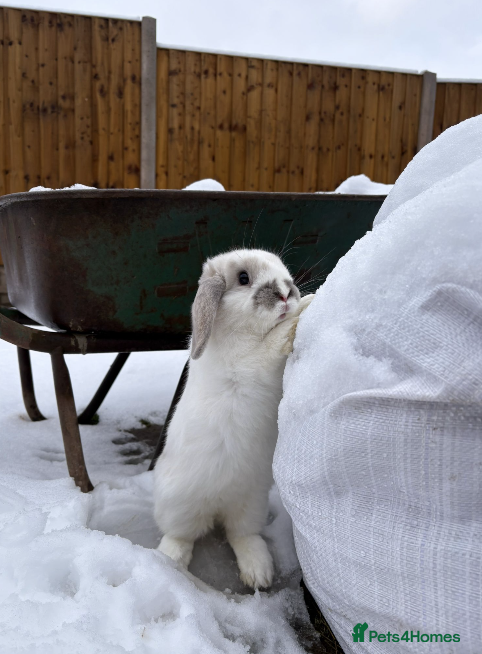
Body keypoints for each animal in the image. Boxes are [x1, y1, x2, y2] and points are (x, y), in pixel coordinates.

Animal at [153, 248, 314, 589]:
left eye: (283, 270)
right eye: (243, 278)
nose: (287, 294)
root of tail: (217, 506)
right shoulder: (250, 364)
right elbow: (273, 343)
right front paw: (306, 305)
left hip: (250, 503)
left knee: (241, 534)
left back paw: (258, 573)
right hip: (179, 505)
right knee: (180, 535)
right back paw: (171, 561)